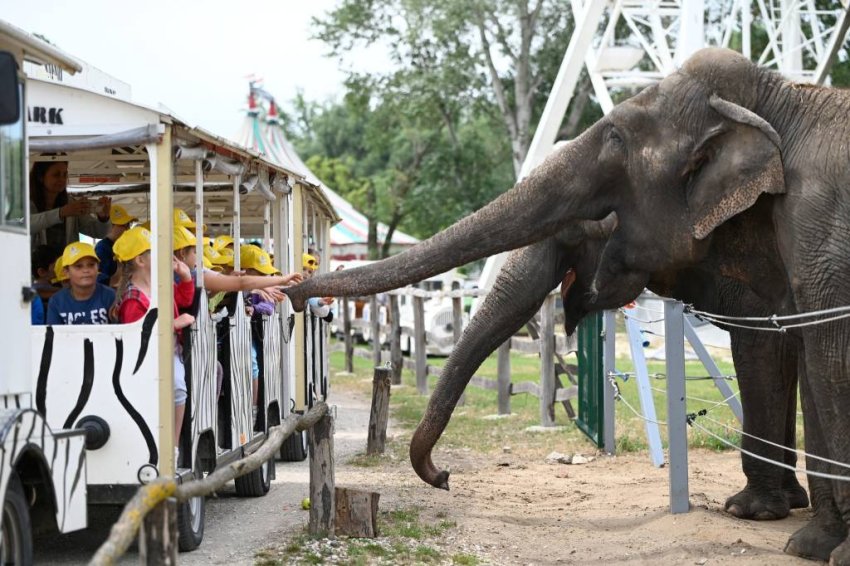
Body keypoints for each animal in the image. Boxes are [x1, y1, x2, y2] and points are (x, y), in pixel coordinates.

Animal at [286, 48, 850, 564]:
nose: (444, 477)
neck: (782, 97)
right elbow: (795, 346)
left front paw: (779, 528)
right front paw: (798, 532)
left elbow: (804, 349)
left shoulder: (818, 230)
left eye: (616, 139)